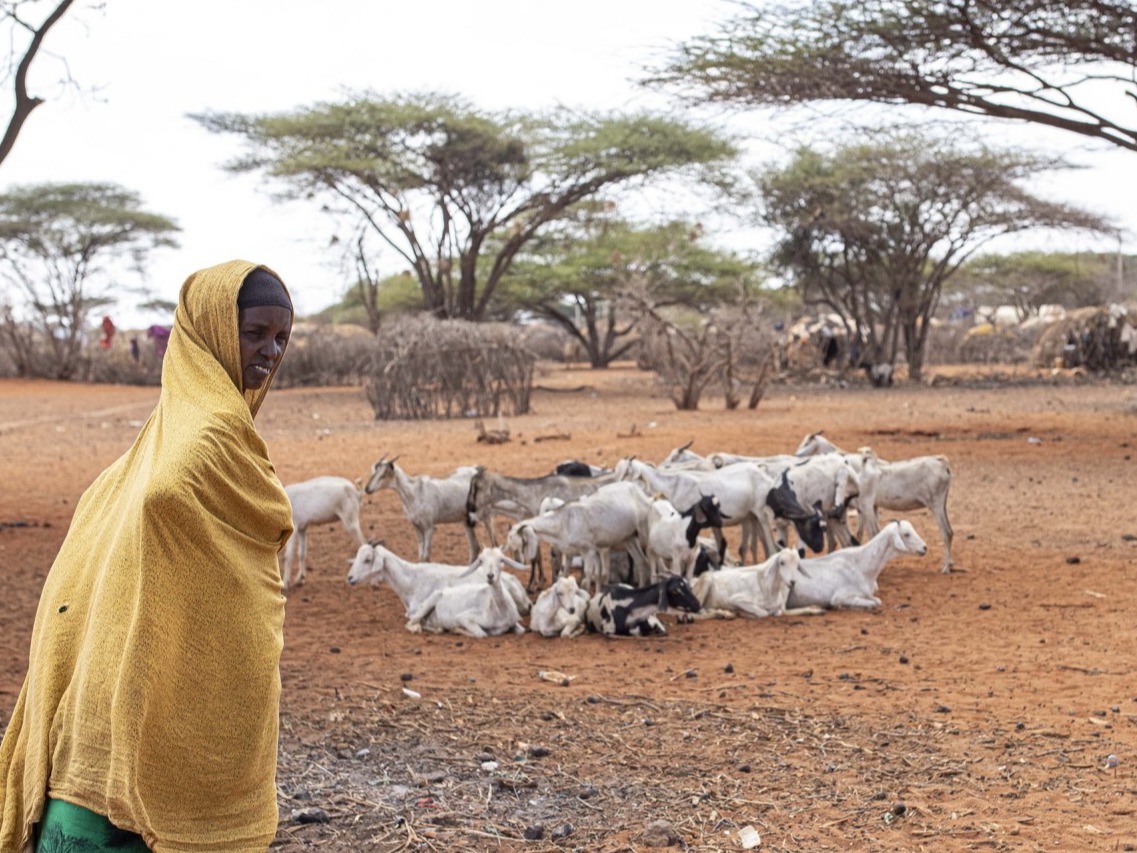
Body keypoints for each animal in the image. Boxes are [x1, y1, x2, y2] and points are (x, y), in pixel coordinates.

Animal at [795, 434, 955, 575]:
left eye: (808, 442)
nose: (797, 455)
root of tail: (943, 463)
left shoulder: (865, 506)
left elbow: (868, 534)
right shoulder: (869, 508)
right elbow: (860, 534)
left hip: (936, 505)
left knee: (946, 532)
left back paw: (946, 567)